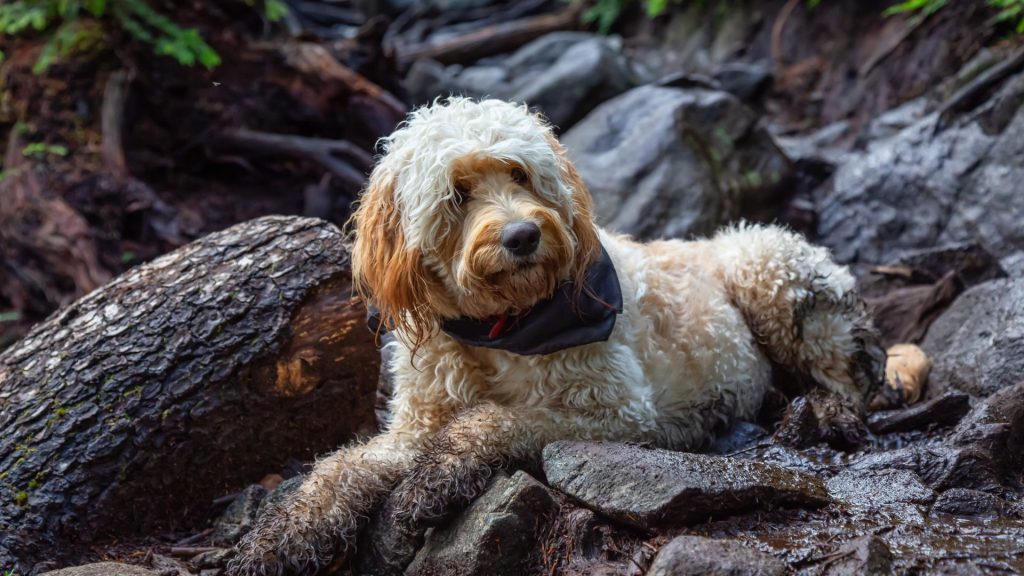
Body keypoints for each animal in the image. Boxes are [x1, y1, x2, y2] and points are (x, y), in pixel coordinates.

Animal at [228, 96, 884, 569]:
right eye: (456, 194)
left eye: (519, 173)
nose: (522, 236)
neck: (498, 326)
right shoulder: (414, 426)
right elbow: (340, 470)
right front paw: (280, 536)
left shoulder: (618, 413)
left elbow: (497, 420)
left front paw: (433, 482)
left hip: (766, 267)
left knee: (848, 375)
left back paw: (826, 411)